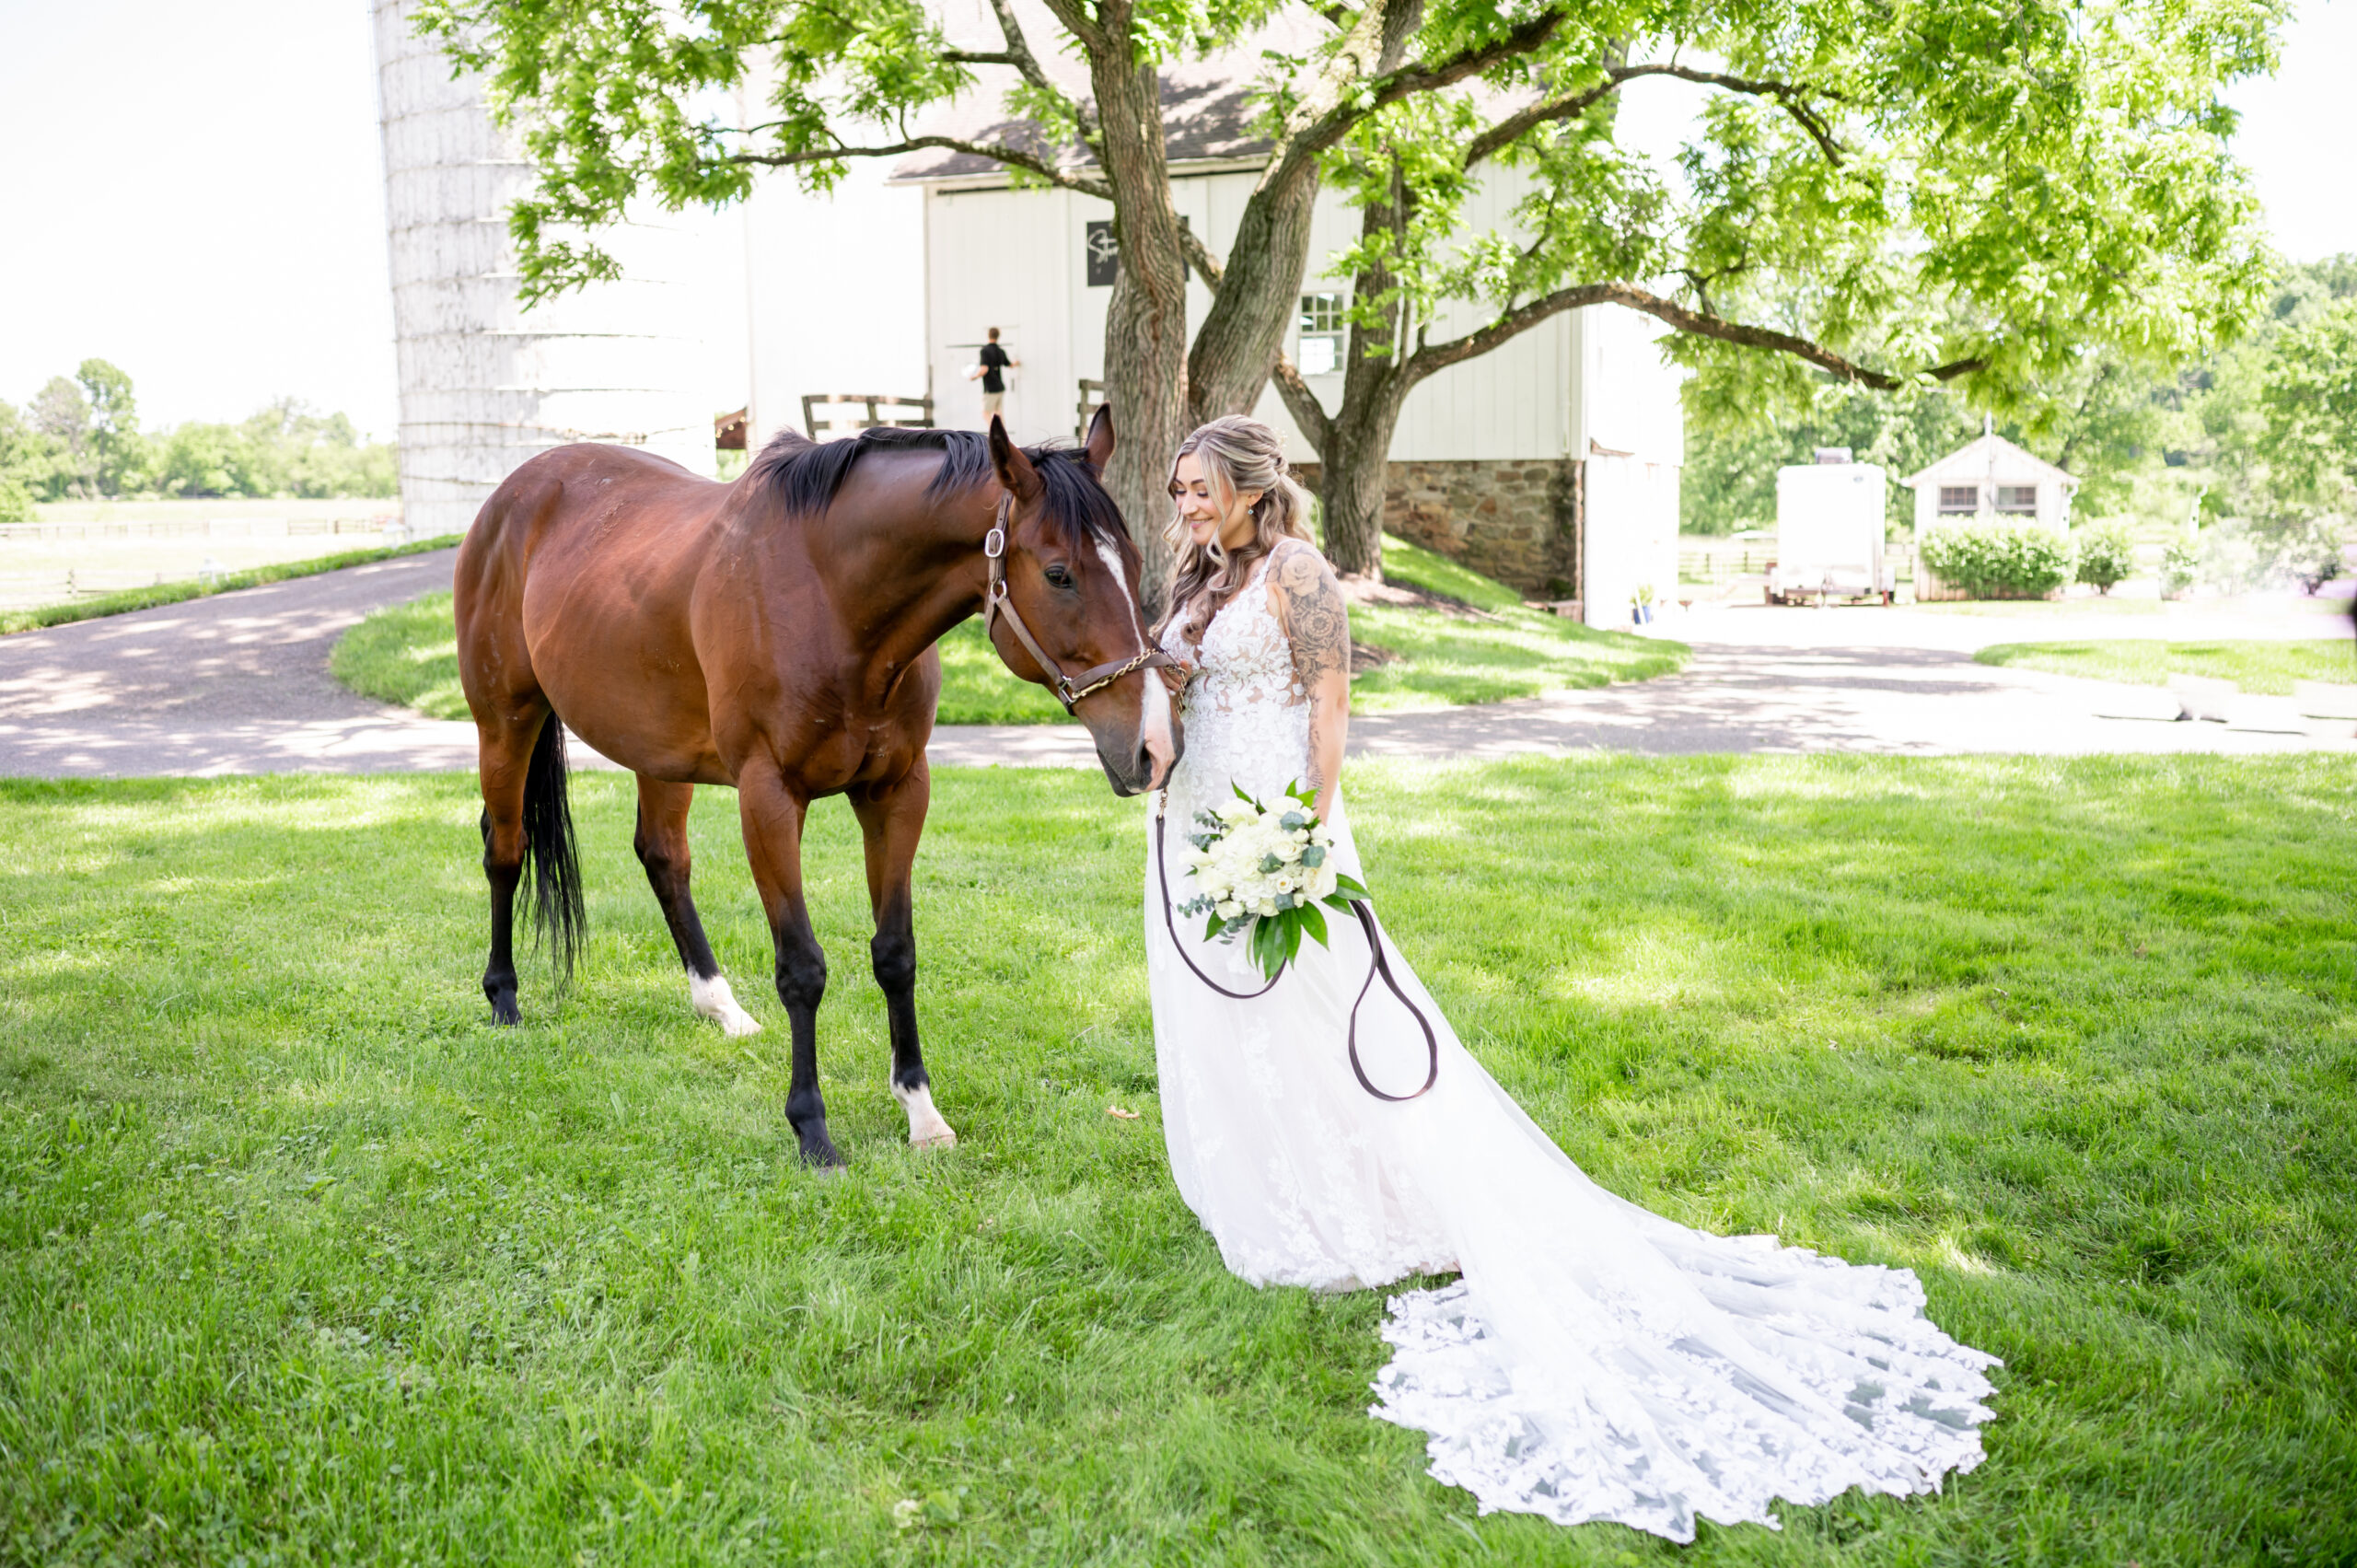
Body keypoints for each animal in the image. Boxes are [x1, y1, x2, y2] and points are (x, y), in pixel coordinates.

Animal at [449, 402, 1178, 1159]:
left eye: (1136, 562)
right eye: (1060, 574)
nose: (1152, 745)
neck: (830, 599)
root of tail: (515, 492)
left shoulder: (897, 793)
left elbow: (895, 954)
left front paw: (921, 1112)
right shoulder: (769, 798)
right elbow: (802, 967)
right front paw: (812, 1129)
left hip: (657, 750)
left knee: (663, 858)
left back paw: (721, 1006)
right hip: (506, 721)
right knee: (505, 848)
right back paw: (504, 998)